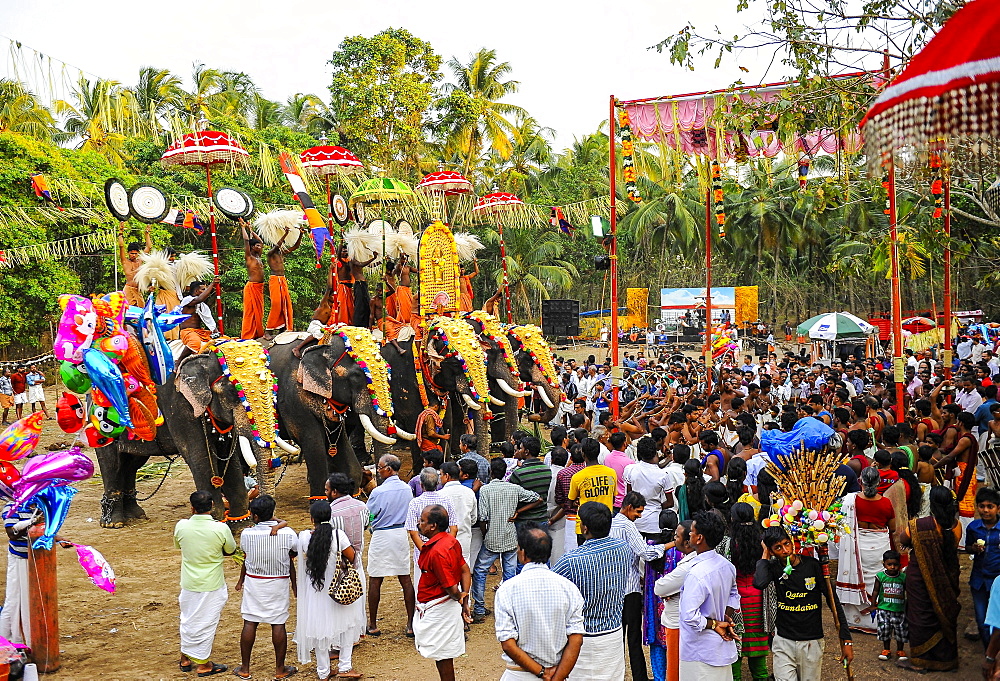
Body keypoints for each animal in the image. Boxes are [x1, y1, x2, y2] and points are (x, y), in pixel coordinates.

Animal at [95, 338, 294, 524]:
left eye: (274, 386)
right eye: (233, 391)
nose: (261, 516)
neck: (204, 356)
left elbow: (228, 458)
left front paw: (239, 523)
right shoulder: (180, 405)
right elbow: (200, 456)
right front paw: (213, 521)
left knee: (131, 463)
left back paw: (136, 515)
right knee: (112, 462)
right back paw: (114, 522)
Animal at [270, 326, 402, 496]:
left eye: (388, 371)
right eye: (357, 376)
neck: (322, 346)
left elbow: (344, 451)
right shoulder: (292, 399)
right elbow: (313, 446)